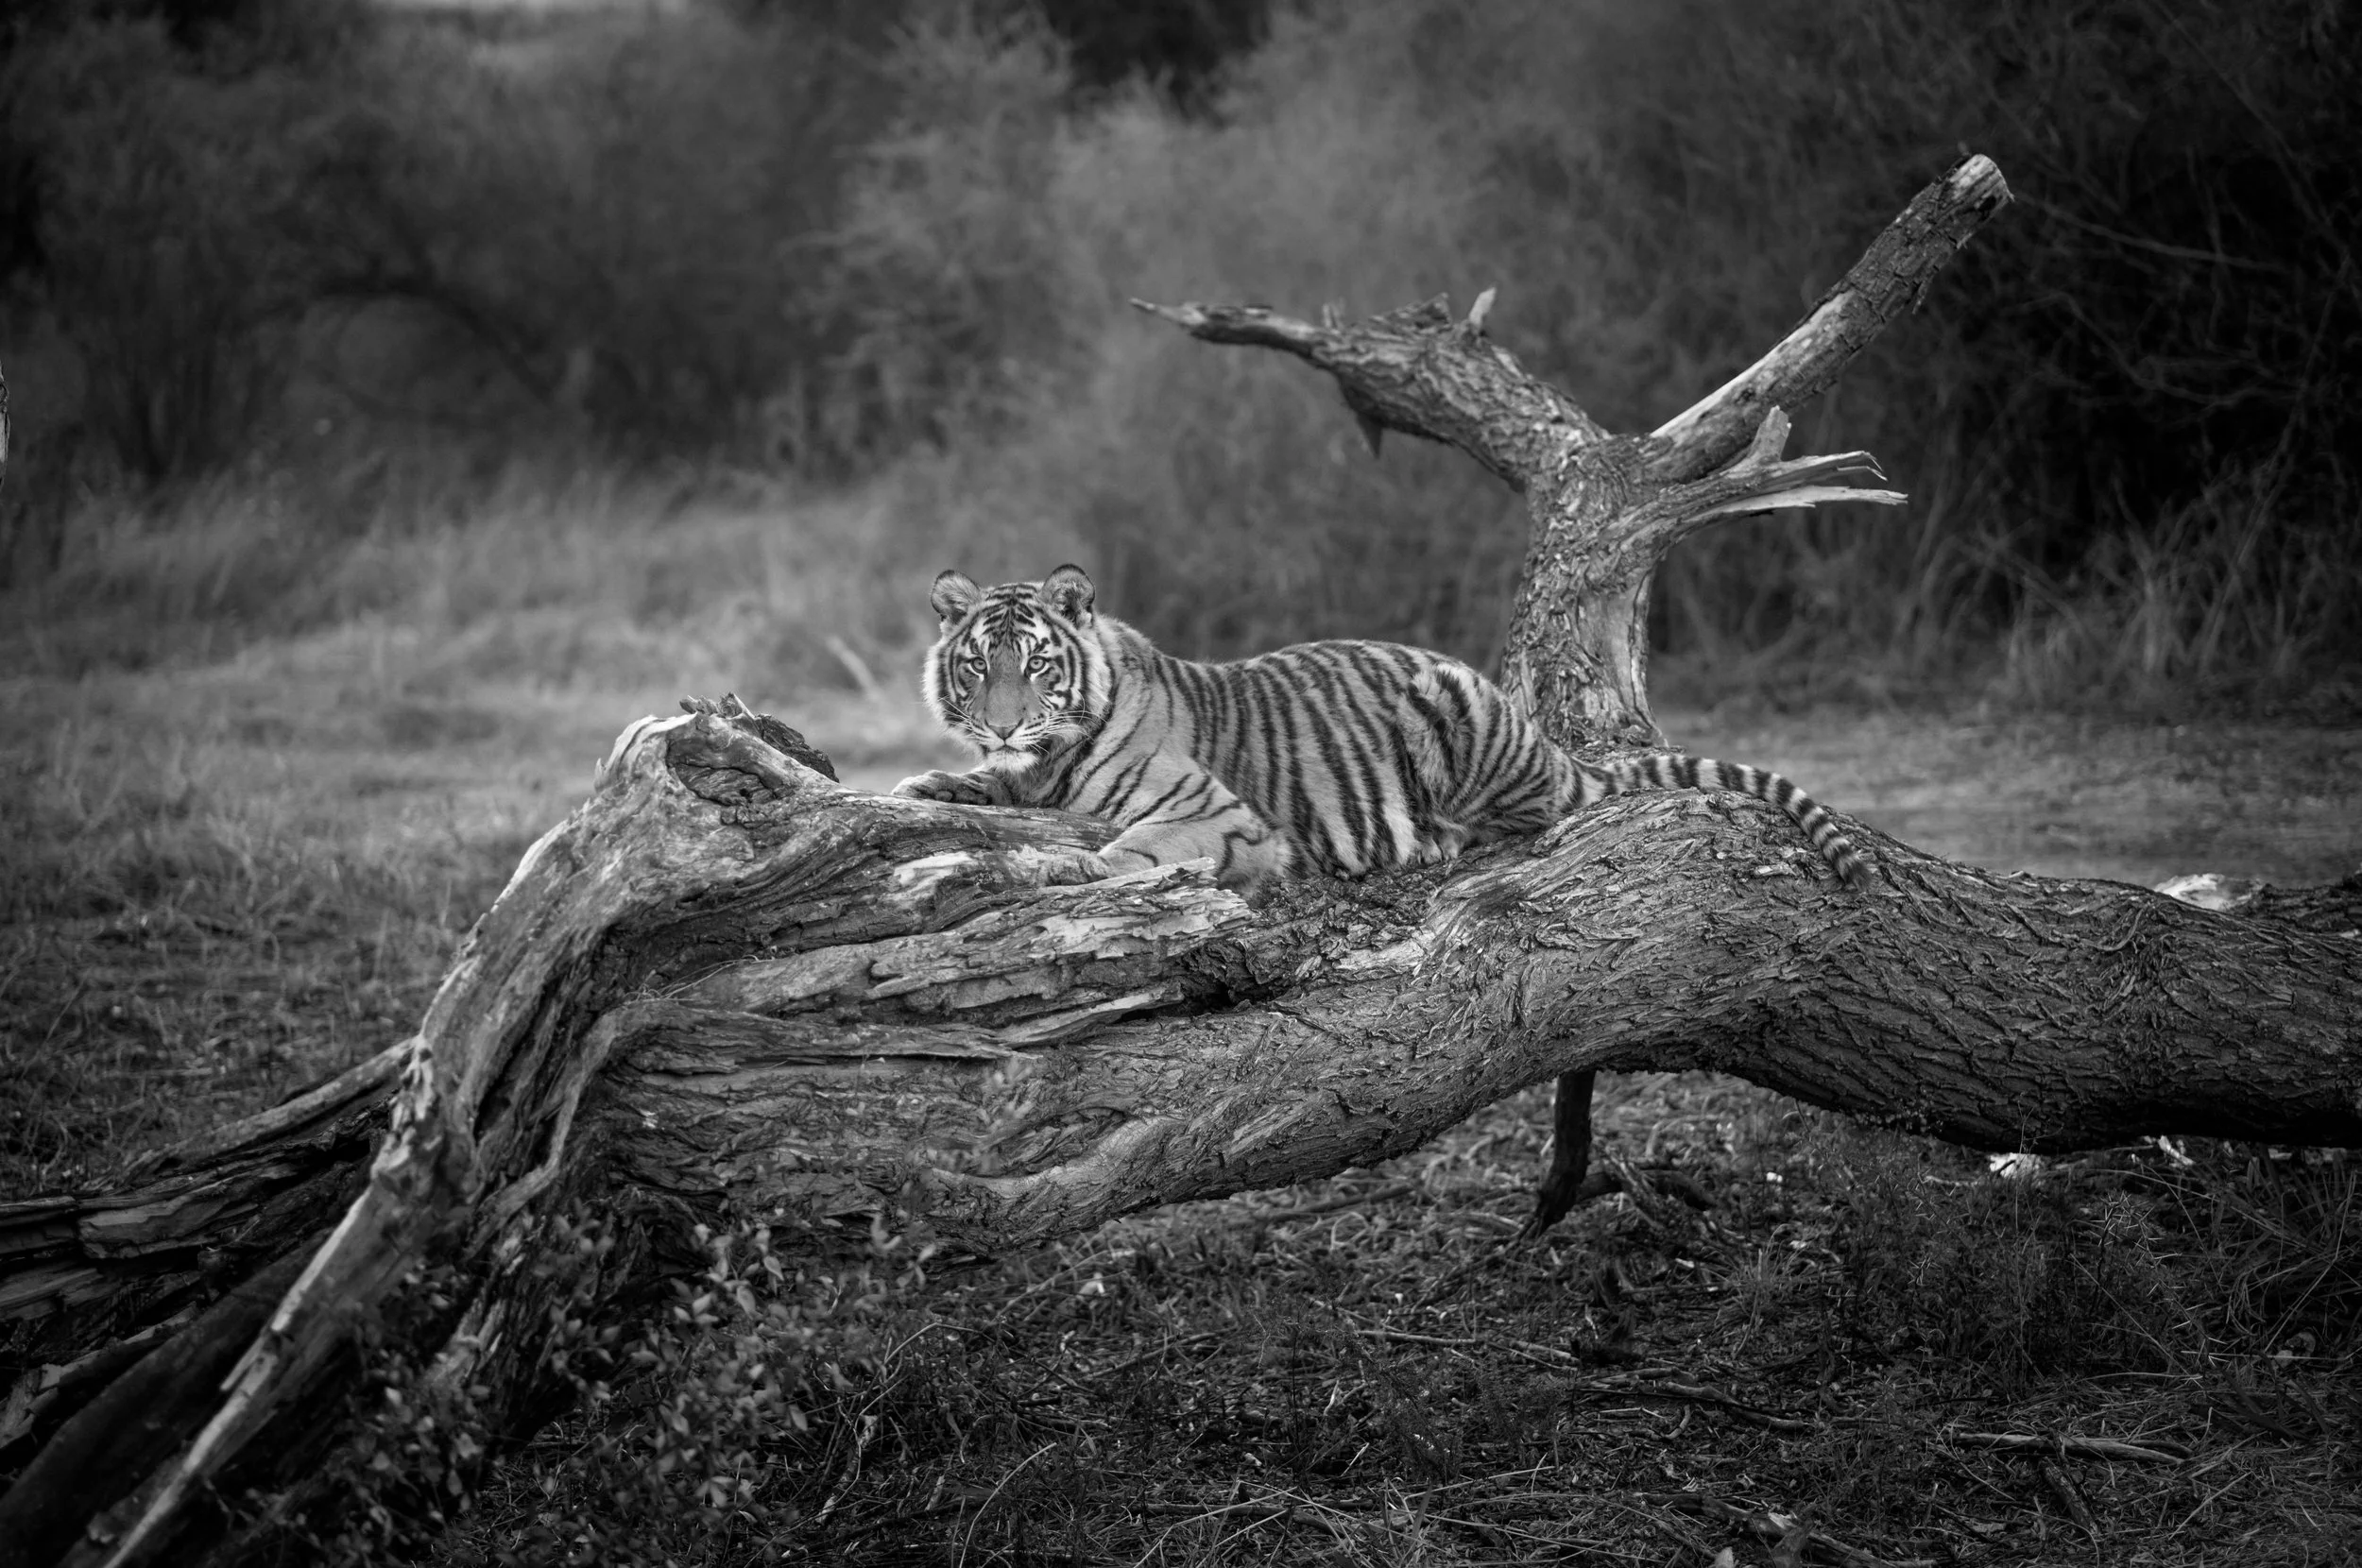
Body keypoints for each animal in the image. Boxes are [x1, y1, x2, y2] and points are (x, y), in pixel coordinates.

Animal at [891, 564, 1867, 895]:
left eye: (1037, 666)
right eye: (977, 667)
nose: (1005, 726)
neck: (1049, 760)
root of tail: (1542, 738)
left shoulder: (1217, 813)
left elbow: (1134, 844)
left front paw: (1089, 869)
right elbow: (976, 785)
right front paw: (930, 783)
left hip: (1454, 711)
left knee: (1532, 814)